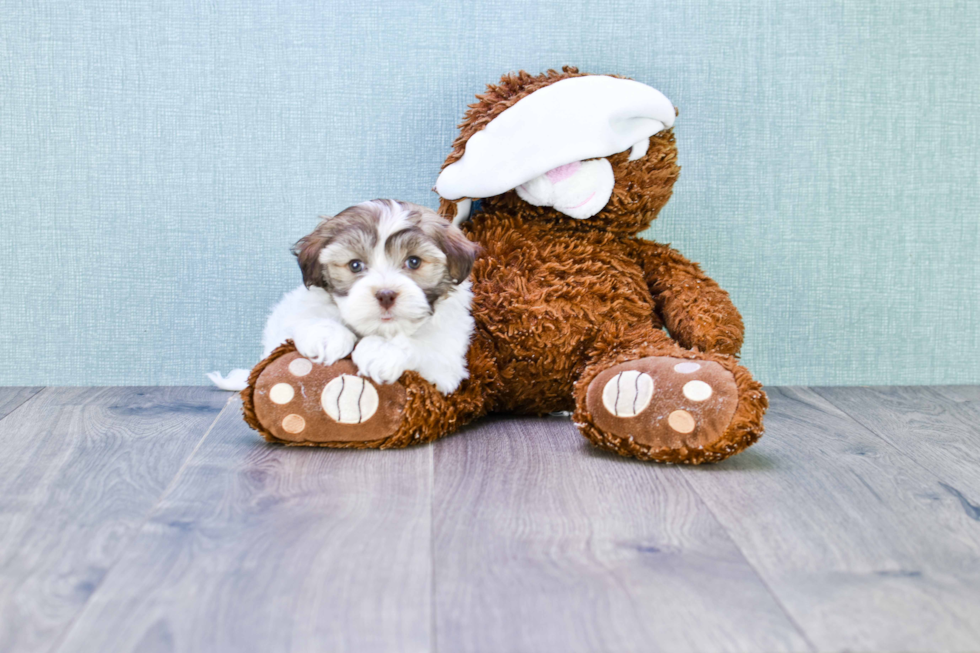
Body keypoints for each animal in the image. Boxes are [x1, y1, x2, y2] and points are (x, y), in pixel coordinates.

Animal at [211, 199, 478, 392]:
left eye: (413, 262)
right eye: (355, 265)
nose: (386, 294)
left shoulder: (447, 359)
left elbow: (421, 346)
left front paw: (381, 351)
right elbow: (310, 315)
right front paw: (327, 335)